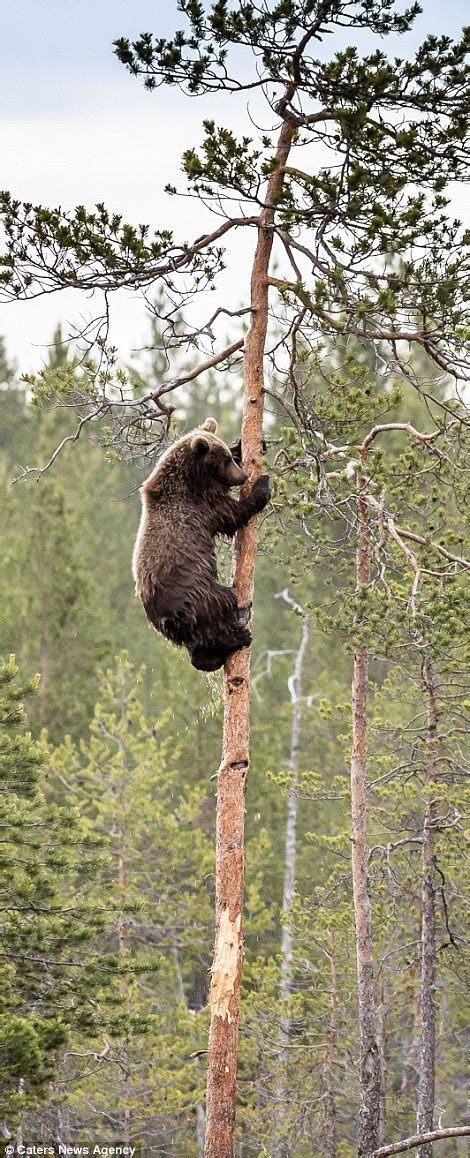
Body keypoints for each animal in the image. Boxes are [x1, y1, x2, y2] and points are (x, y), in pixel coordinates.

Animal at [131, 416, 272, 671]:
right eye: (223, 461)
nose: (242, 477)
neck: (191, 479)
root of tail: (167, 620)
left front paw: (247, 445)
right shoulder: (202, 505)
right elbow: (233, 514)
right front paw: (263, 485)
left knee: (199, 643)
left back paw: (208, 658)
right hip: (198, 593)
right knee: (220, 608)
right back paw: (238, 636)